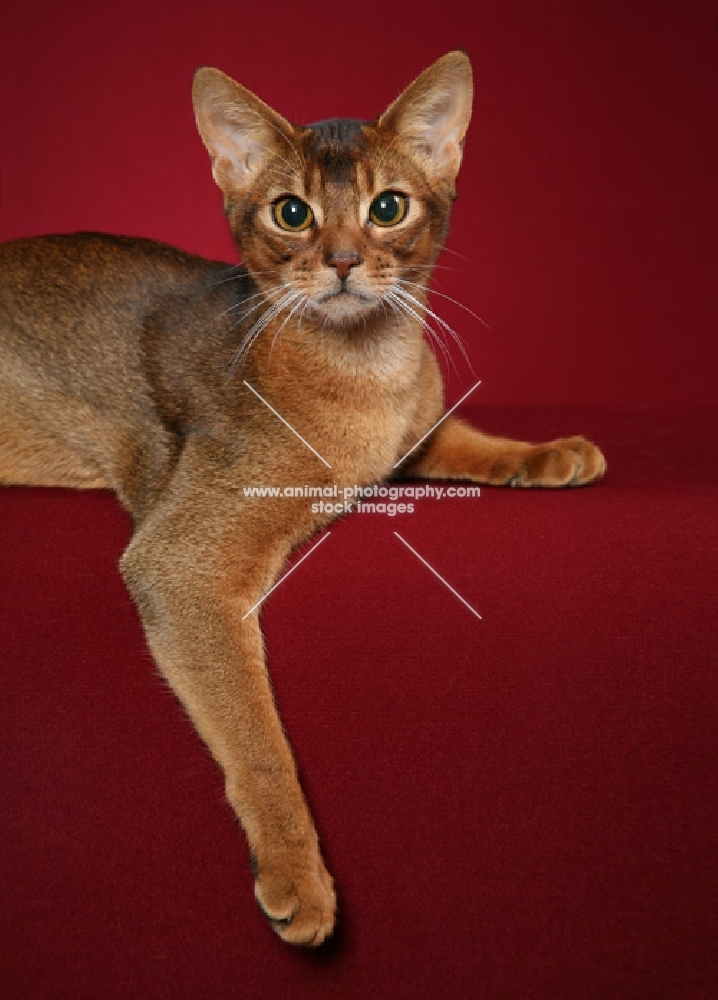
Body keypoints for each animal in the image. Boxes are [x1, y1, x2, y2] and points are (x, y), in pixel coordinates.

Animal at [0, 52, 608, 944]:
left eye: (387, 207)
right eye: (292, 213)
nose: (345, 260)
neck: (367, 374)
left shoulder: (410, 435)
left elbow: (455, 435)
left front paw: (550, 452)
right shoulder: (181, 565)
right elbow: (257, 736)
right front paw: (296, 870)